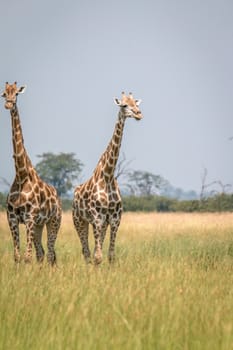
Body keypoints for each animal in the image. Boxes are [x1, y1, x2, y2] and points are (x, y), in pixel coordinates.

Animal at [0, 82, 62, 266]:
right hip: (39, 225)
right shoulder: (12, 217)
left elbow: (27, 257)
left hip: (53, 221)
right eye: (4, 93)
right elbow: (18, 255)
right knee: (41, 253)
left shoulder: (29, 217)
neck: (21, 175)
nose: (8, 104)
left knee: (50, 253)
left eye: (16, 94)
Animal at [72, 91, 143, 264]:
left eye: (136, 104)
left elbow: (110, 255)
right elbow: (98, 257)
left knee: (93, 250)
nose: (139, 114)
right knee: (86, 252)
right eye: (124, 105)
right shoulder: (97, 218)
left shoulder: (115, 219)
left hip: (100, 224)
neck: (108, 176)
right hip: (79, 220)